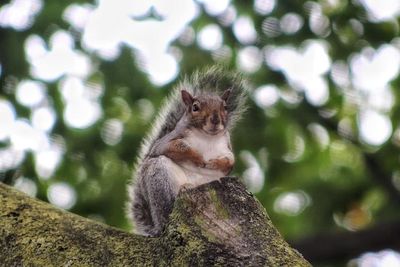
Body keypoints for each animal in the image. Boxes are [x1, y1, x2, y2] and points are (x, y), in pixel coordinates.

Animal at [127, 67, 247, 237]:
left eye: (225, 107)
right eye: (195, 107)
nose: (215, 119)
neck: (206, 137)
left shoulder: (226, 149)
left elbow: (229, 162)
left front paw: (213, 163)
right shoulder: (165, 143)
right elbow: (177, 148)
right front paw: (197, 158)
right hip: (159, 177)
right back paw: (183, 190)